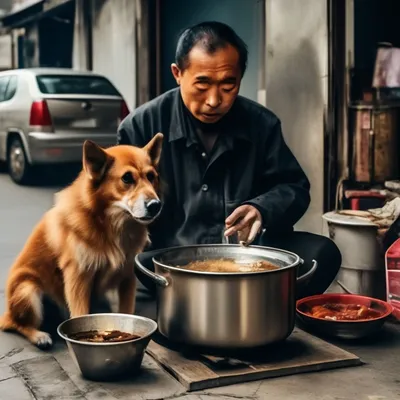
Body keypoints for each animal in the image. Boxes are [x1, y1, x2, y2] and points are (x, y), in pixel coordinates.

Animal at [0, 133, 164, 348]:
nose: (155, 205)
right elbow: (81, 314)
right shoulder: (78, 278)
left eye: (151, 176)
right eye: (127, 178)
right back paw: (39, 335)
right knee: (17, 324)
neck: (110, 227)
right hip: (28, 291)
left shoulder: (127, 277)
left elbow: (126, 312)